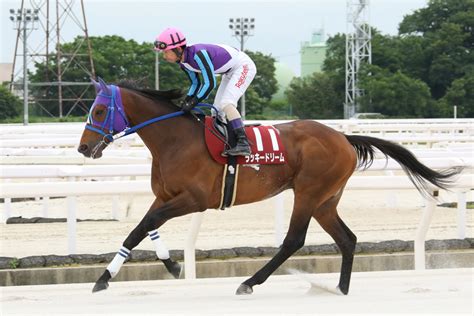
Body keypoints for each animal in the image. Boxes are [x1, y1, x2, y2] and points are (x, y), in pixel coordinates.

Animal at [79, 78, 462, 296]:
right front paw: (156, 268)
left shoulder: (194, 199)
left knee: (294, 240)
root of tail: (343, 137)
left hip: (308, 192)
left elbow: (145, 225)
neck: (174, 140)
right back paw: (339, 290)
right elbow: (141, 229)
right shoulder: (165, 196)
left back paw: (250, 282)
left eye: (97, 111)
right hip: (326, 200)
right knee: (347, 239)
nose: (83, 148)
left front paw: (113, 277)